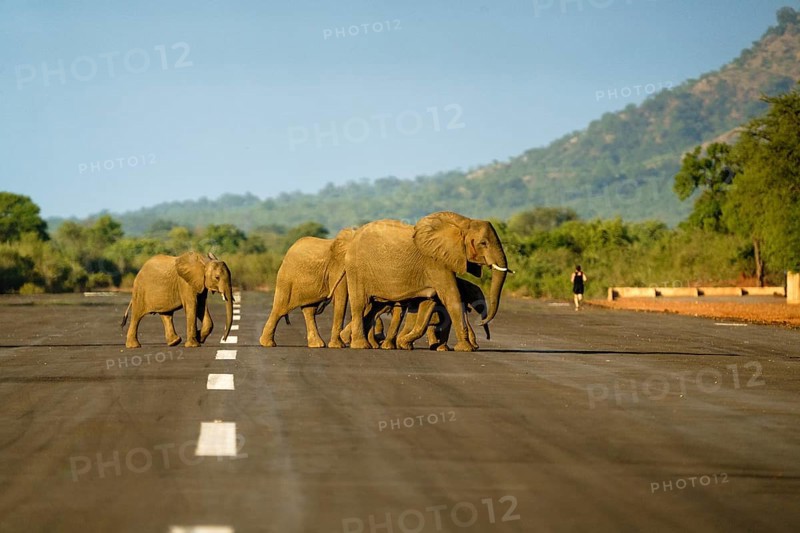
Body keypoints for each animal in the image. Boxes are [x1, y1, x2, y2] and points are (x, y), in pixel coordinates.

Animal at [344, 212, 511, 352]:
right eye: (483, 243)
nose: (481, 323)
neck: (462, 224)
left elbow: (429, 302)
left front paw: (404, 344)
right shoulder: (436, 262)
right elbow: (452, 297)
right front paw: (466, 348)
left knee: (372, 309)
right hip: (356, 269)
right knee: (360, 304)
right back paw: (361, 345)